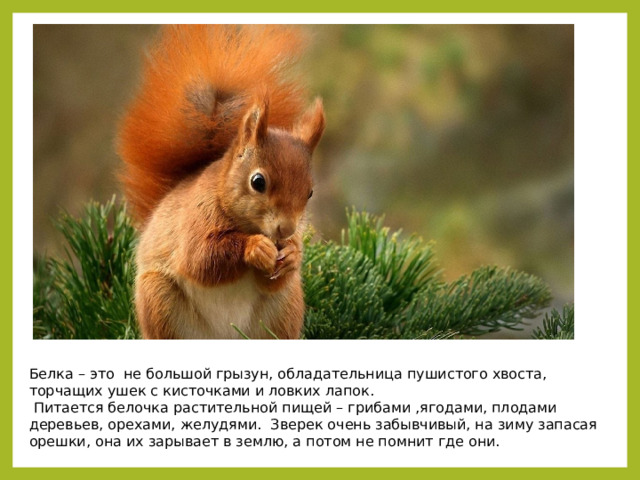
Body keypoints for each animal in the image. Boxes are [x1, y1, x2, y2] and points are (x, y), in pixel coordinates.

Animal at [118, 25, 325, 339]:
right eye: (258, 182)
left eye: (310, 193)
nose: (286, 229)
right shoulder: (195, 221)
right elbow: (201, 258)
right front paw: (255, 247)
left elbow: (274, 277)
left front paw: (292, 254)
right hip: (159, 300)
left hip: (285, 306)